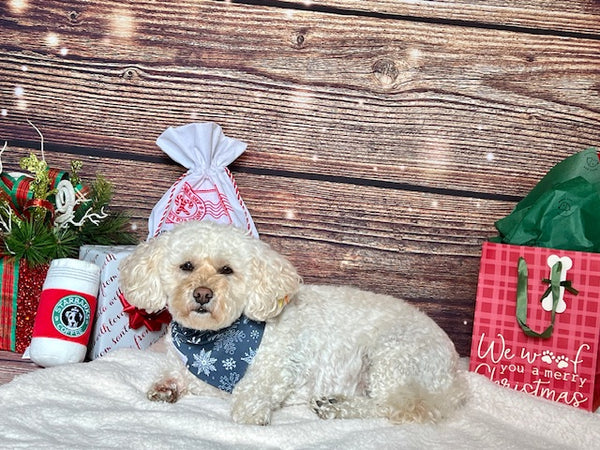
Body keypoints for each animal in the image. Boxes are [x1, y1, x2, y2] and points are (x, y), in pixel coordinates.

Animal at [117, 221, 464, 426]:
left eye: (227, 270)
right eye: (186, 266)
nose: (203, 294)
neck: (211, 342)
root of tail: (452, 374)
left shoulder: (282, 365)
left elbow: (254, 387)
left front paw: (250, 410)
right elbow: (178, 375)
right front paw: (166, 387)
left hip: (391, 357)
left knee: (401, 406)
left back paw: (336, 406)